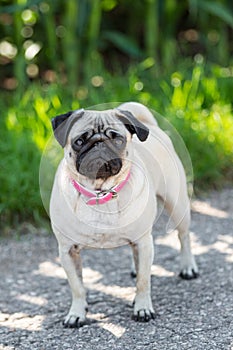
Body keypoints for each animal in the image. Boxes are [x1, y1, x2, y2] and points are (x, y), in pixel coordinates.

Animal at [49, 102, 198, 328]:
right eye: (79, 141)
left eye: (117, 139)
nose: (99, 145)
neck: (100, 193)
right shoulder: (67, 251)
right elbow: (77, 287)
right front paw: (76, 313)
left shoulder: (144, 242)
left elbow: (144, 281)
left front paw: (143, 308)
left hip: (177, 204)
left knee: (184, 236)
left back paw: (188, 267)